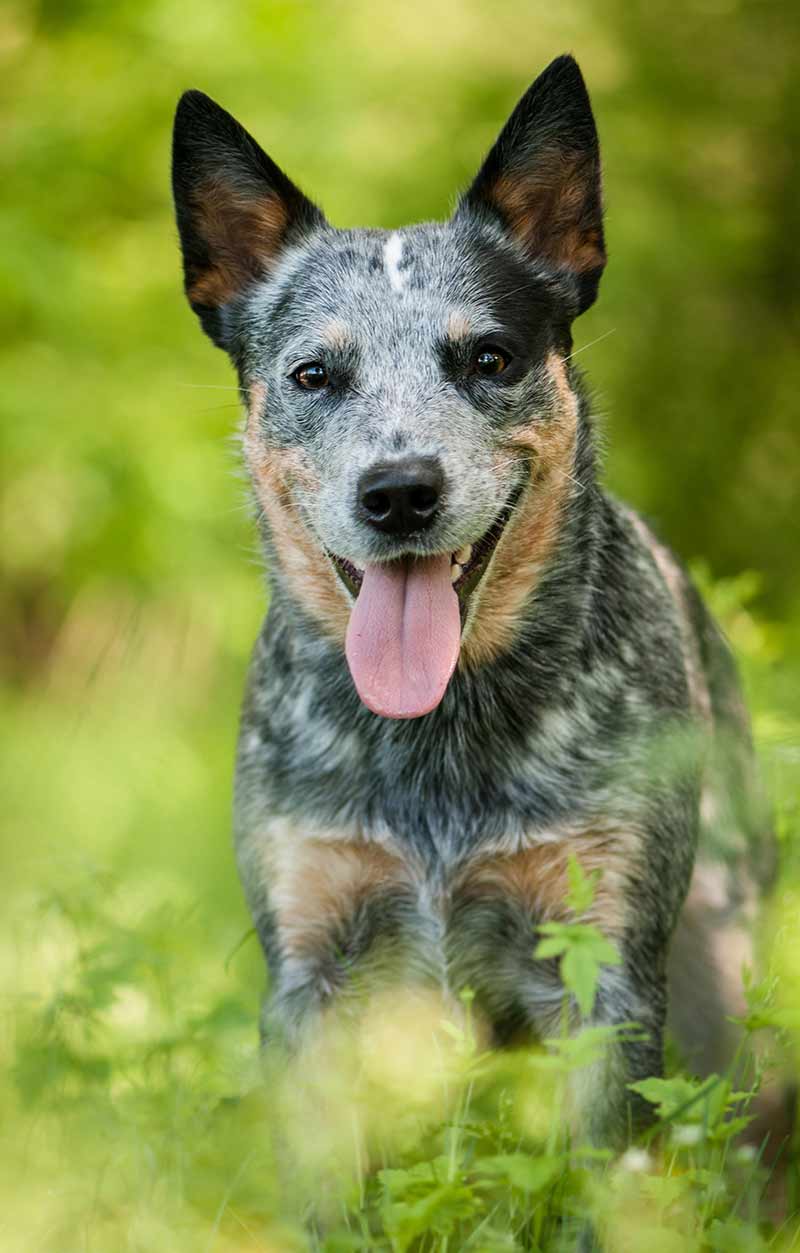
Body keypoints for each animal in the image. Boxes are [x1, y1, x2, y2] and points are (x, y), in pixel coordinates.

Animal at [170, 56, 777, 1152]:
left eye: (488, 358)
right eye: (313, 374)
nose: (400, 489)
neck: (436, 743)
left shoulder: (603, 963)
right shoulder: (309, 957)